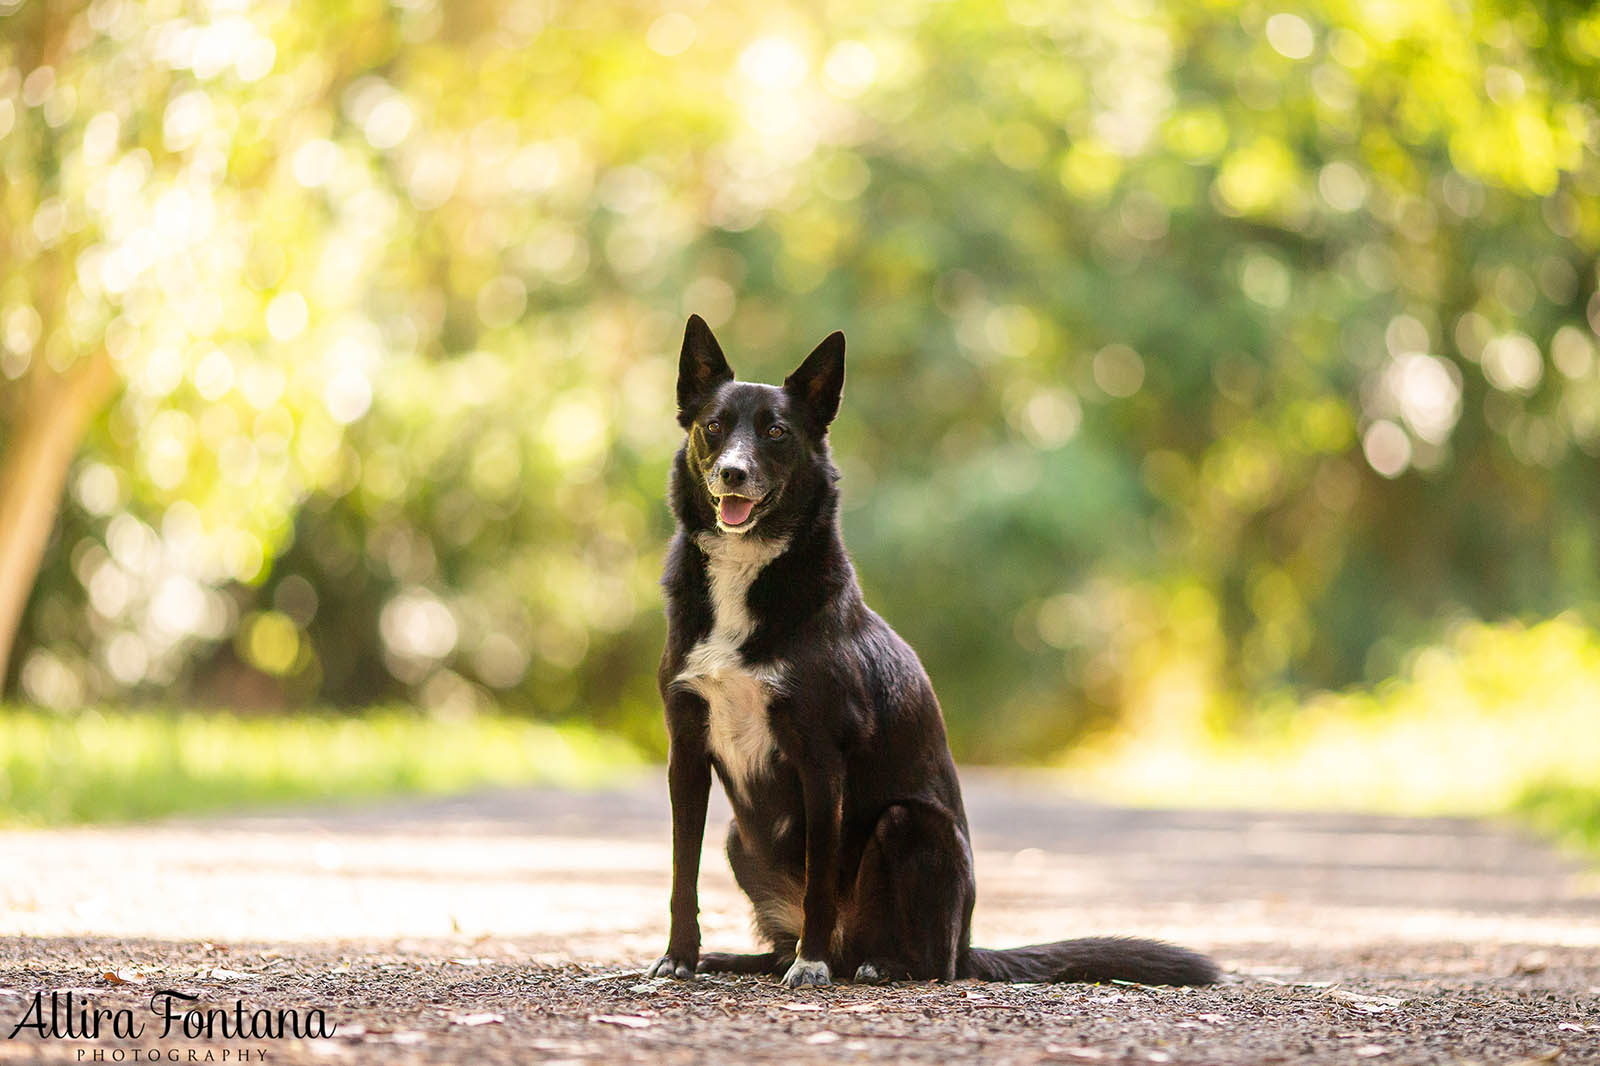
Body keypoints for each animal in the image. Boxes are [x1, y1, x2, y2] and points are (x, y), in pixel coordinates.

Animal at [643, 315, 1216, 985]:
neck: (747, 574)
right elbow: (682, 873)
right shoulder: (686, 749)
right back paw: (745, 959)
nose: (732, 472)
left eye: (776, 432)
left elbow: (818, 885)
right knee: (791, 938)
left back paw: (868, 965)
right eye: (713, 426)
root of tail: (969, 943)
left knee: (929, 961)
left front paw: (809, 967)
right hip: (740, 834)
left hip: (912, 825)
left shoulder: (820, 757)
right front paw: (680, 957)